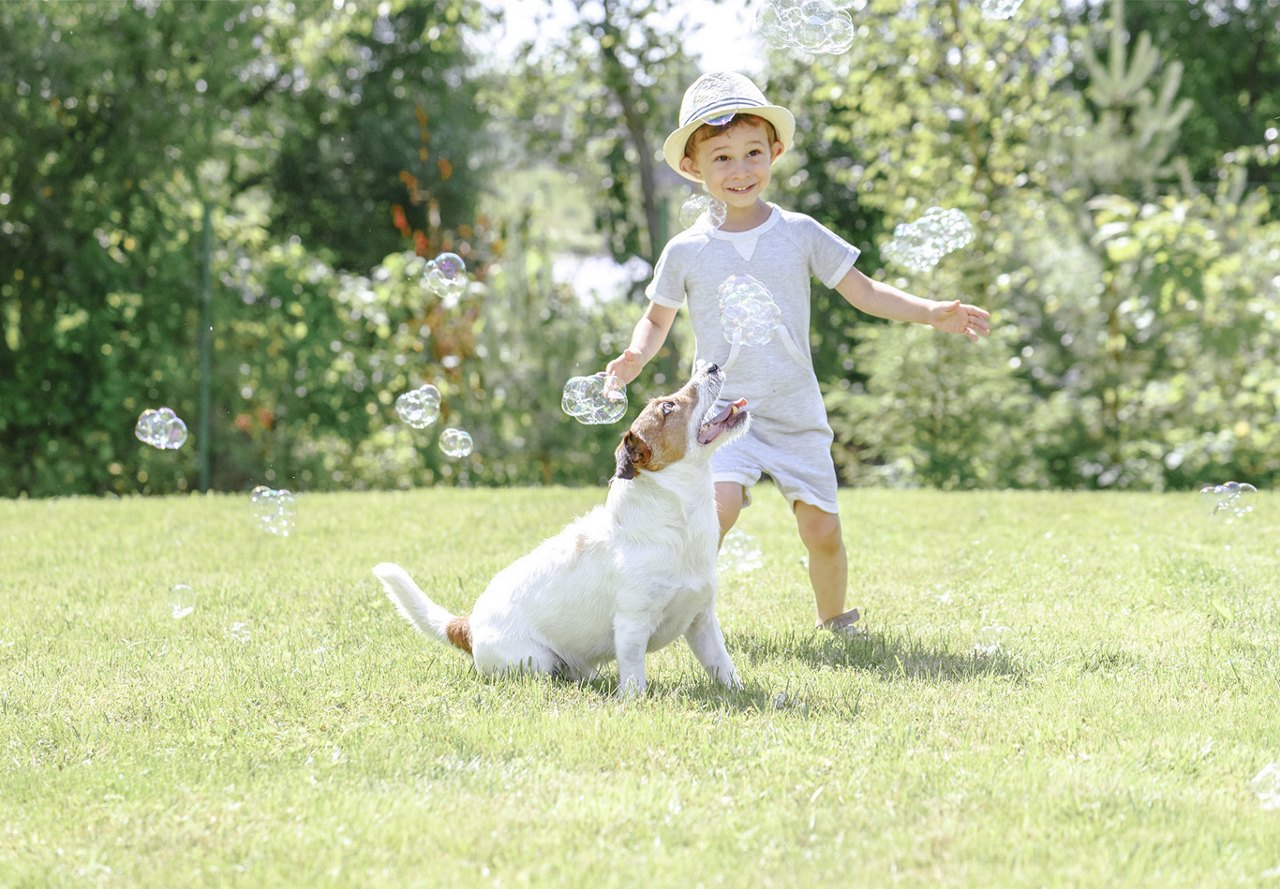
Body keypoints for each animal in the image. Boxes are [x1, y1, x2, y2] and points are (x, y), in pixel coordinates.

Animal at [371, 365, 747, 700]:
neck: (677, 520)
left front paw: (738, 692)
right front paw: (634, 701)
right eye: (667, 407)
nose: (713, 365)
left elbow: (722, 664)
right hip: (534, 660)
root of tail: (469, 625)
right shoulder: (632, 624)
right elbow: (633, 674)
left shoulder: (702, 621)